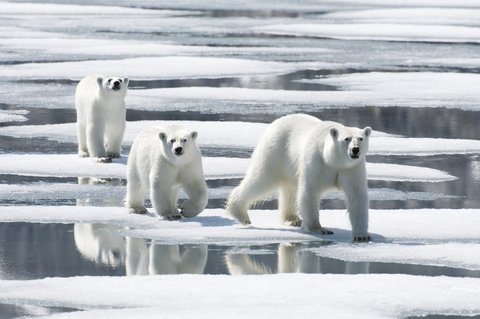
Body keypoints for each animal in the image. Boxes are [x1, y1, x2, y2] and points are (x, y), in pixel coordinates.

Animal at [227, 115, 374, 242]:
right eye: (346, 139)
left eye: (361, 138)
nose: (355, 150)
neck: (333, 160)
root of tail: (276, 122)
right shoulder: (316, 161)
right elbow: (310, 191)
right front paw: (319, 229)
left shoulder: (351, 168)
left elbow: (357, 196)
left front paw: (361, 235)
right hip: (275, 151)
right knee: (261, 179)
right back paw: (241, 215)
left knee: (289, 189)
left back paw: (292, 219)